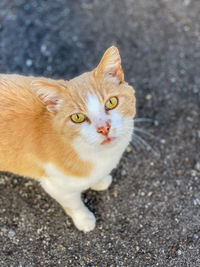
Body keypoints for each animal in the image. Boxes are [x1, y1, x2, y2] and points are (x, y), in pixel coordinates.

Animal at [0, 46, 136, 232]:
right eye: (77, 117)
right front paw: (84, 219)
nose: (104, 128)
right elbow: (73, 204)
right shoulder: (55, 185)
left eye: (111, 102)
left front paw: (100, 181)